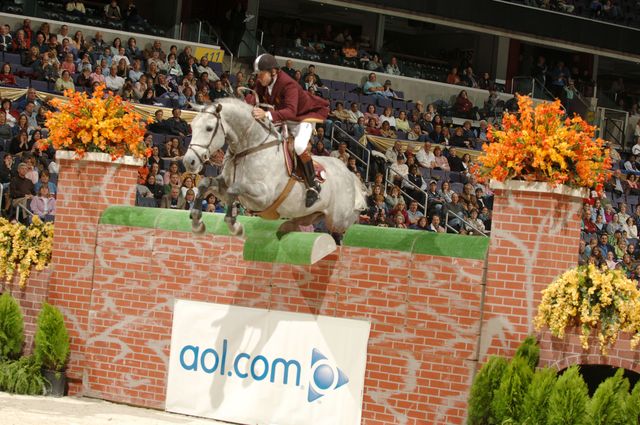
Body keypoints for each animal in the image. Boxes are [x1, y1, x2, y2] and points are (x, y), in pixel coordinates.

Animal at [182, 98, 368, 237]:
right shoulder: (224, 185)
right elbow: (205, 183)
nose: (189, 161)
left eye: (209, 128)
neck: (249, 148)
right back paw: (288, 226)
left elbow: (234, 190)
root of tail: (348, 172)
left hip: (338, 219)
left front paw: (235, 226)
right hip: (313, 213)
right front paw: (197, 222)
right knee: (308, 219)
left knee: (349, 220)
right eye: (192, 125)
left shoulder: (263, 195)